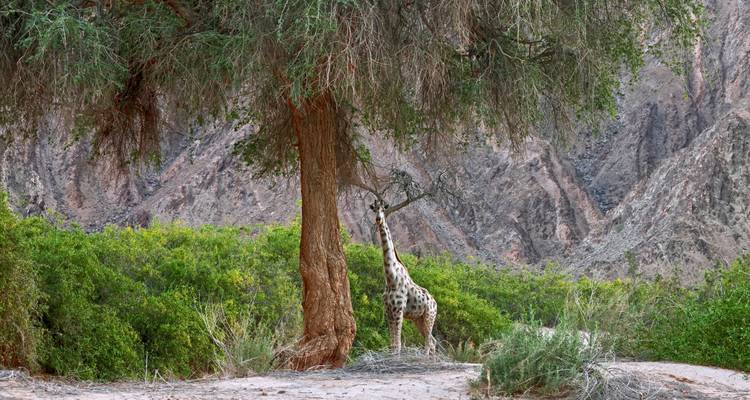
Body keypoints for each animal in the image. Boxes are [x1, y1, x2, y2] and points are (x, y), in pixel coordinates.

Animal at [369, 199, 438, 356]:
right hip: (418, 319)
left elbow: (398, 344)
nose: (378, 219)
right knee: (432, 341)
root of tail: (436, 304)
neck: (391, 278)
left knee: (429, 342)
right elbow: (392, 344)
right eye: (374, 209)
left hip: (429, 316)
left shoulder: (398, 310)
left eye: (383, 209)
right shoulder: (388, 310)